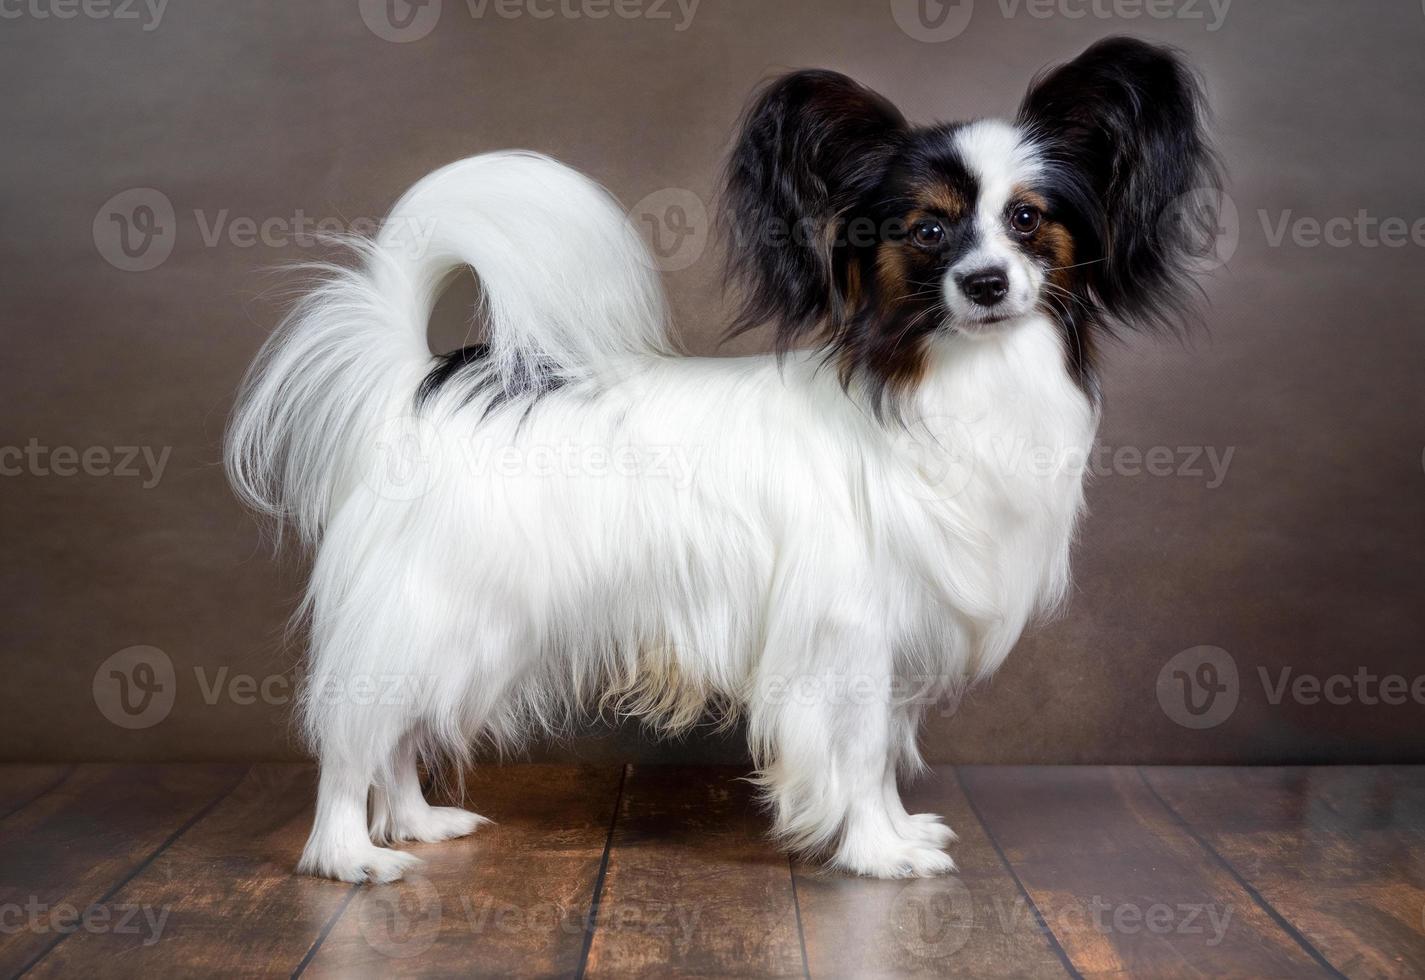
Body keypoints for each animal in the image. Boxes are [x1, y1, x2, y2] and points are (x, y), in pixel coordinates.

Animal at [225, 36, 1225, 883]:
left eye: (1026, 220)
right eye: (928, 232)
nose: (985, 284)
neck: (947, 383)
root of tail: (425, 380)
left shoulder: (897, 632)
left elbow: (882, 755)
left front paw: (899, 832)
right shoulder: (843, 635)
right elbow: (856, 751)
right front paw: (876, 855)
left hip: (471, 625)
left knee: (396, 734)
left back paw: (415, 822)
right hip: (434, 607)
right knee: (353, 735)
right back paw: (349, 856)